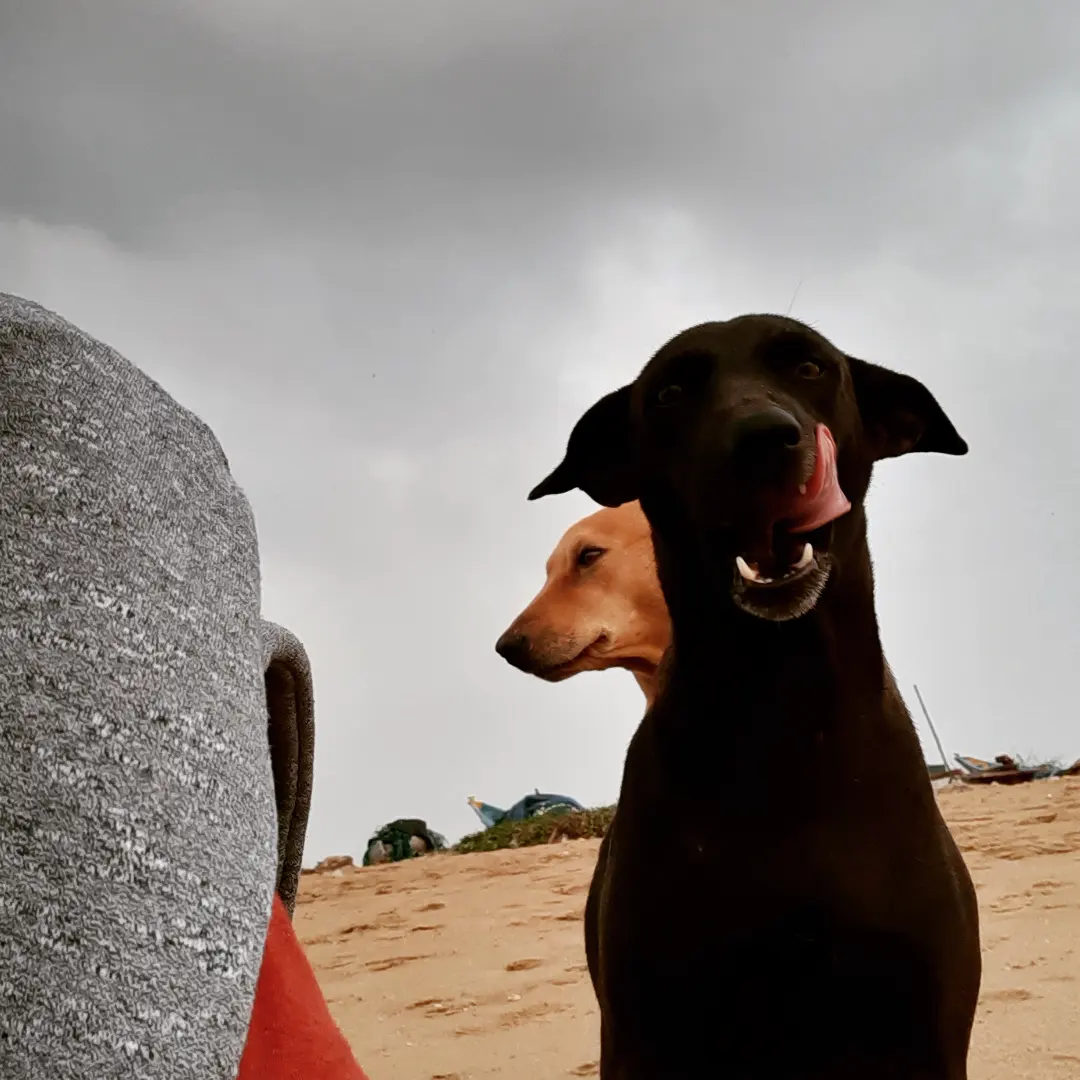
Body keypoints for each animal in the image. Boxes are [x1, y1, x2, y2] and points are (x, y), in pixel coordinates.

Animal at [528, 315, 982, 1079]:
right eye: (669, 392)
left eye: (810, 366)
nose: (765, 439)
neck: (782, 707)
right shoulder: (643, 1031)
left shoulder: (927, 1030)